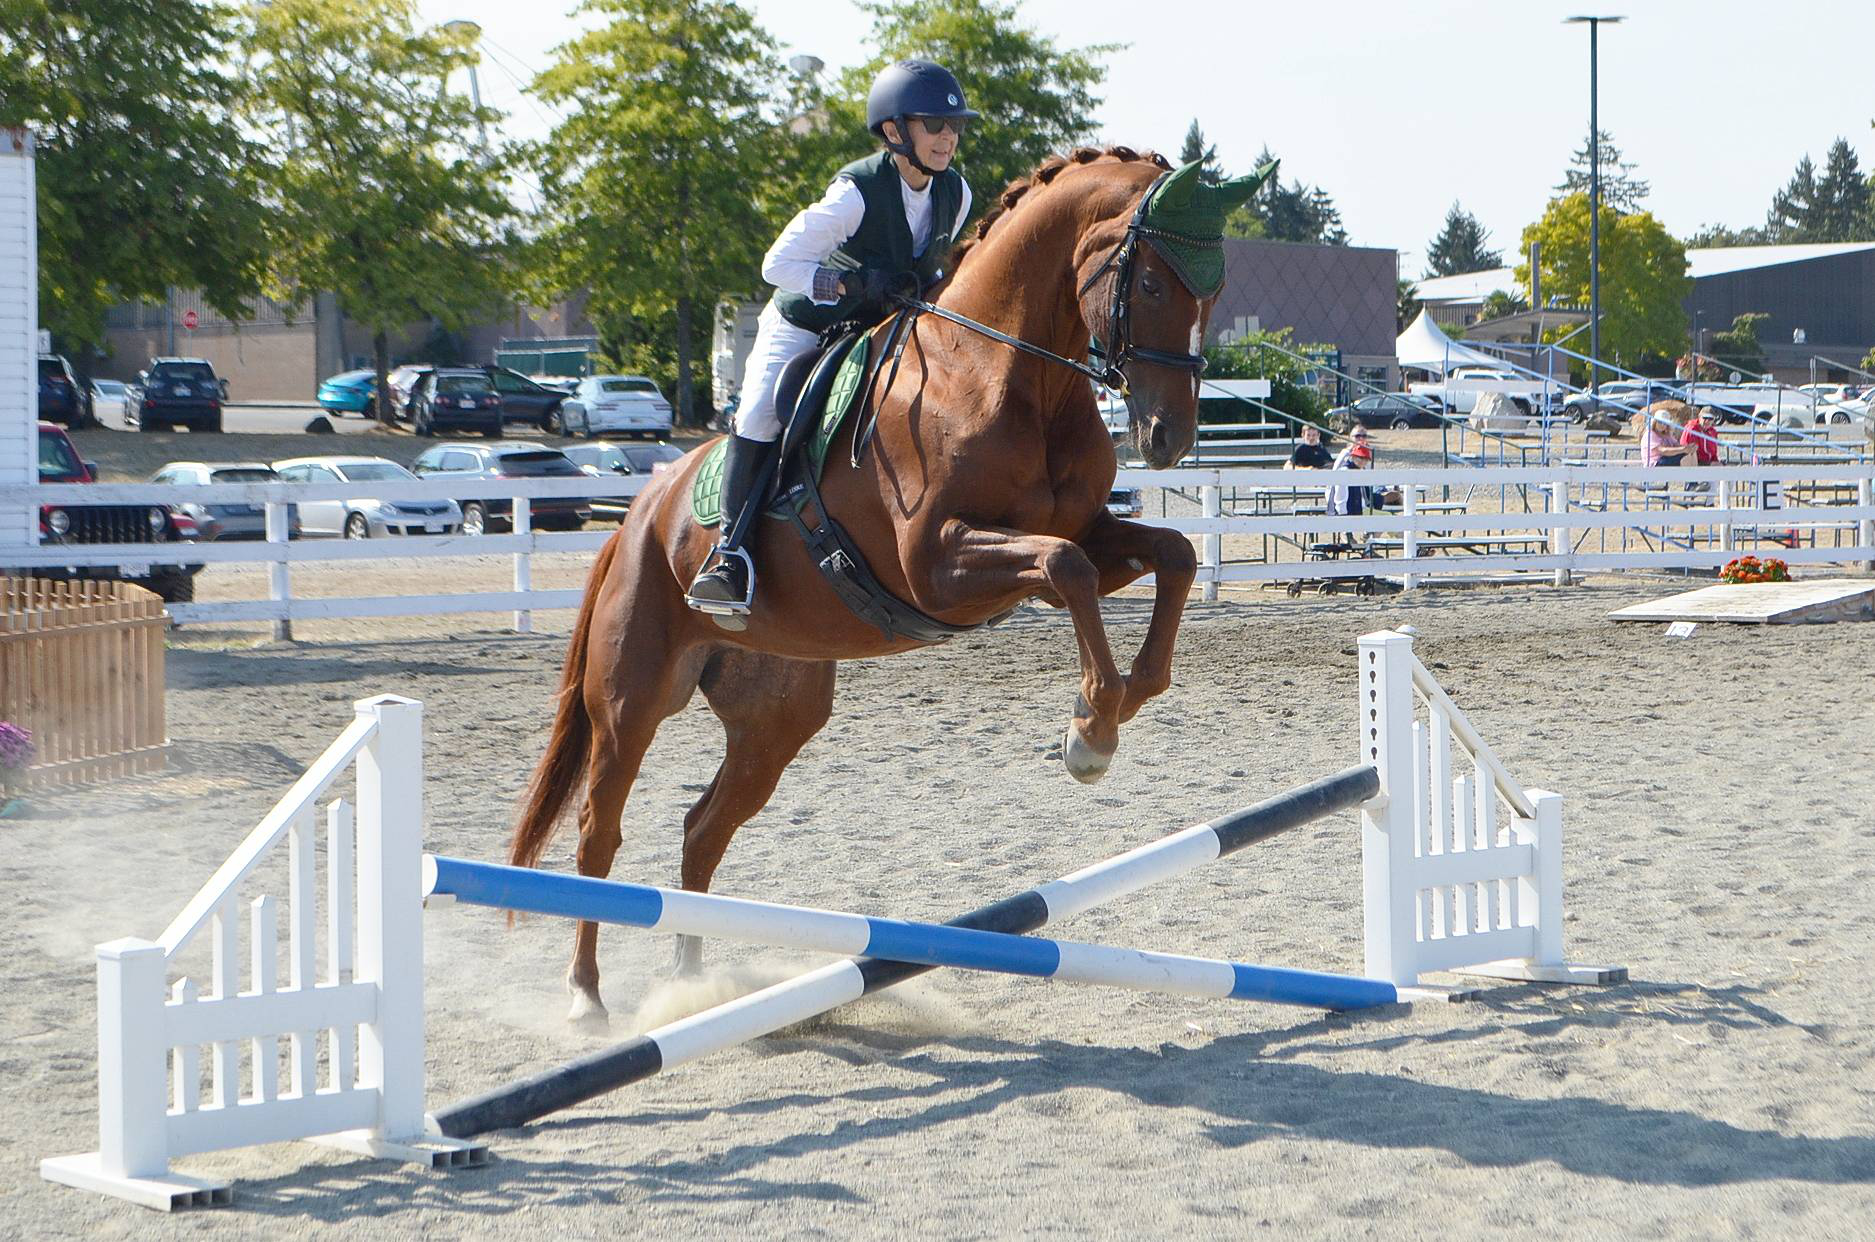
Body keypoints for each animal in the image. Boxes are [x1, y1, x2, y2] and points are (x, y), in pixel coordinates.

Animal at [509, 146, 1272, 1023]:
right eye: (1148, 284)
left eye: (1213, 291)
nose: (1167, 438)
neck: (1002, 371)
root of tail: (637, 515)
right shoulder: (937, 567)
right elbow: (1065, 568)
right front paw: (1091, 732)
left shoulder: (1079, 533)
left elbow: (1170, 555)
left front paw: (1118, 704)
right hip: (631, 698)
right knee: (598, 831)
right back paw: (586, 999)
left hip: (777, 713)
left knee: (703, 829)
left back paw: (692, 987)